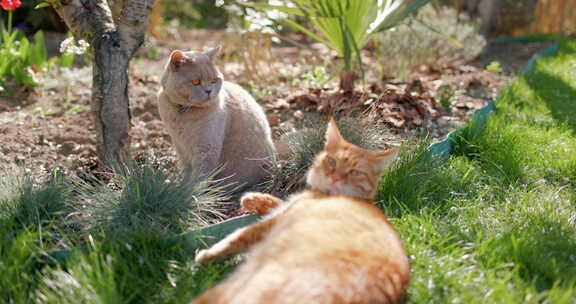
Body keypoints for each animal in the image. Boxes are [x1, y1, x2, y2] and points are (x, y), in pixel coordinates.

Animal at [194, 118, 410, 304]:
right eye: (331, 162)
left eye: (355, 172)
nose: (335, 178)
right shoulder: (288, 205)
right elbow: (279, 201)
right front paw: (254, 199)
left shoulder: (273, 221)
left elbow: (237, 236)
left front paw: (209, 254)